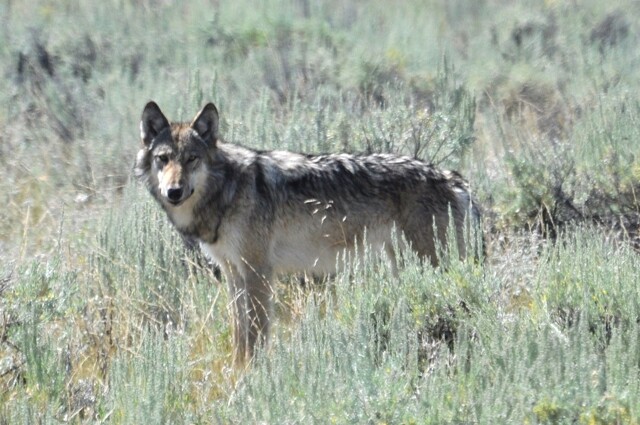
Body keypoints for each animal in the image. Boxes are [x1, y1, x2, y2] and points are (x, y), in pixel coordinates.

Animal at [138, 100, 482, 364]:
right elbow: (239, 334)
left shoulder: (259, 273)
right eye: (163, 159)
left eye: (191, 159)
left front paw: (252, 376)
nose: (174, 192)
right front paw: (236, 369)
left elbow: (256, 335)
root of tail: (454, 179)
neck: (228, 189)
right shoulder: (234, 273)